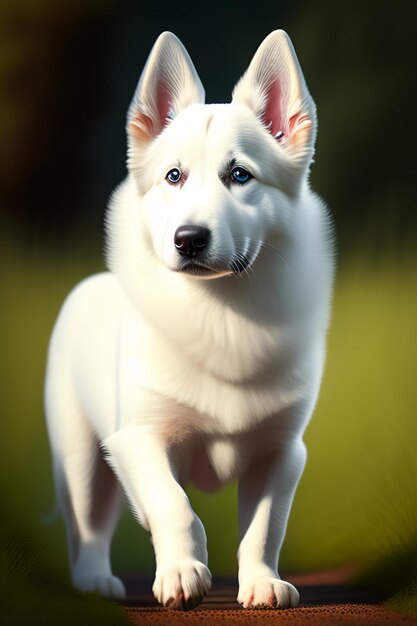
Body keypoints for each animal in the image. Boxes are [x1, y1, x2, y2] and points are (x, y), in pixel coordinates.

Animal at [44, 30, 334, 608]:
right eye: (173, 177)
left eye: (240, 175)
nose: (189, 240)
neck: (219, 313)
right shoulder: (139, 438)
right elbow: (174, 505)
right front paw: (181, 573)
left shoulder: (282, 452)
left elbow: (264, 528)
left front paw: (262, 583)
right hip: (81, 455)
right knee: (89, 525)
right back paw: (94, 580)